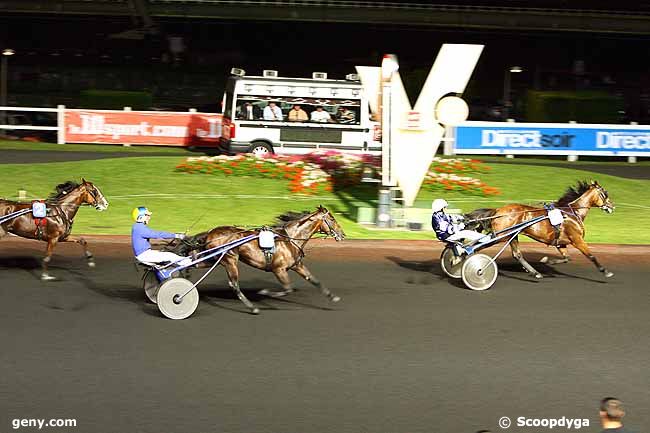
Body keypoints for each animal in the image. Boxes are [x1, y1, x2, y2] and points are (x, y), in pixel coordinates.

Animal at [171, 206, 344, 314]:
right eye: (332, 219)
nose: (343, 235)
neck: (289, 239)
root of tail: (211, 232)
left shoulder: (297, 265)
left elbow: (315, 281)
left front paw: (333, 297)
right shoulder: (279, 270)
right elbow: (287, 289)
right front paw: (265, 292)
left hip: (214, 259)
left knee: (193, 261)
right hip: (230, 259)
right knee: (234, 284)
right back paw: (252, 307)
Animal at [464, 180, 612, 278]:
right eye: (604, 193)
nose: (612, 206)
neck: (572, 213)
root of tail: (498, 210)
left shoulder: (561, 243)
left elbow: (567, 258)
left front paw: (546, 261)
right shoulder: (577, 239)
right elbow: (591, 255)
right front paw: (605, 271)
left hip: (512, 235)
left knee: (517, 254)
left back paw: (535, 272)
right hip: (502, 235)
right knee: (478, 245)